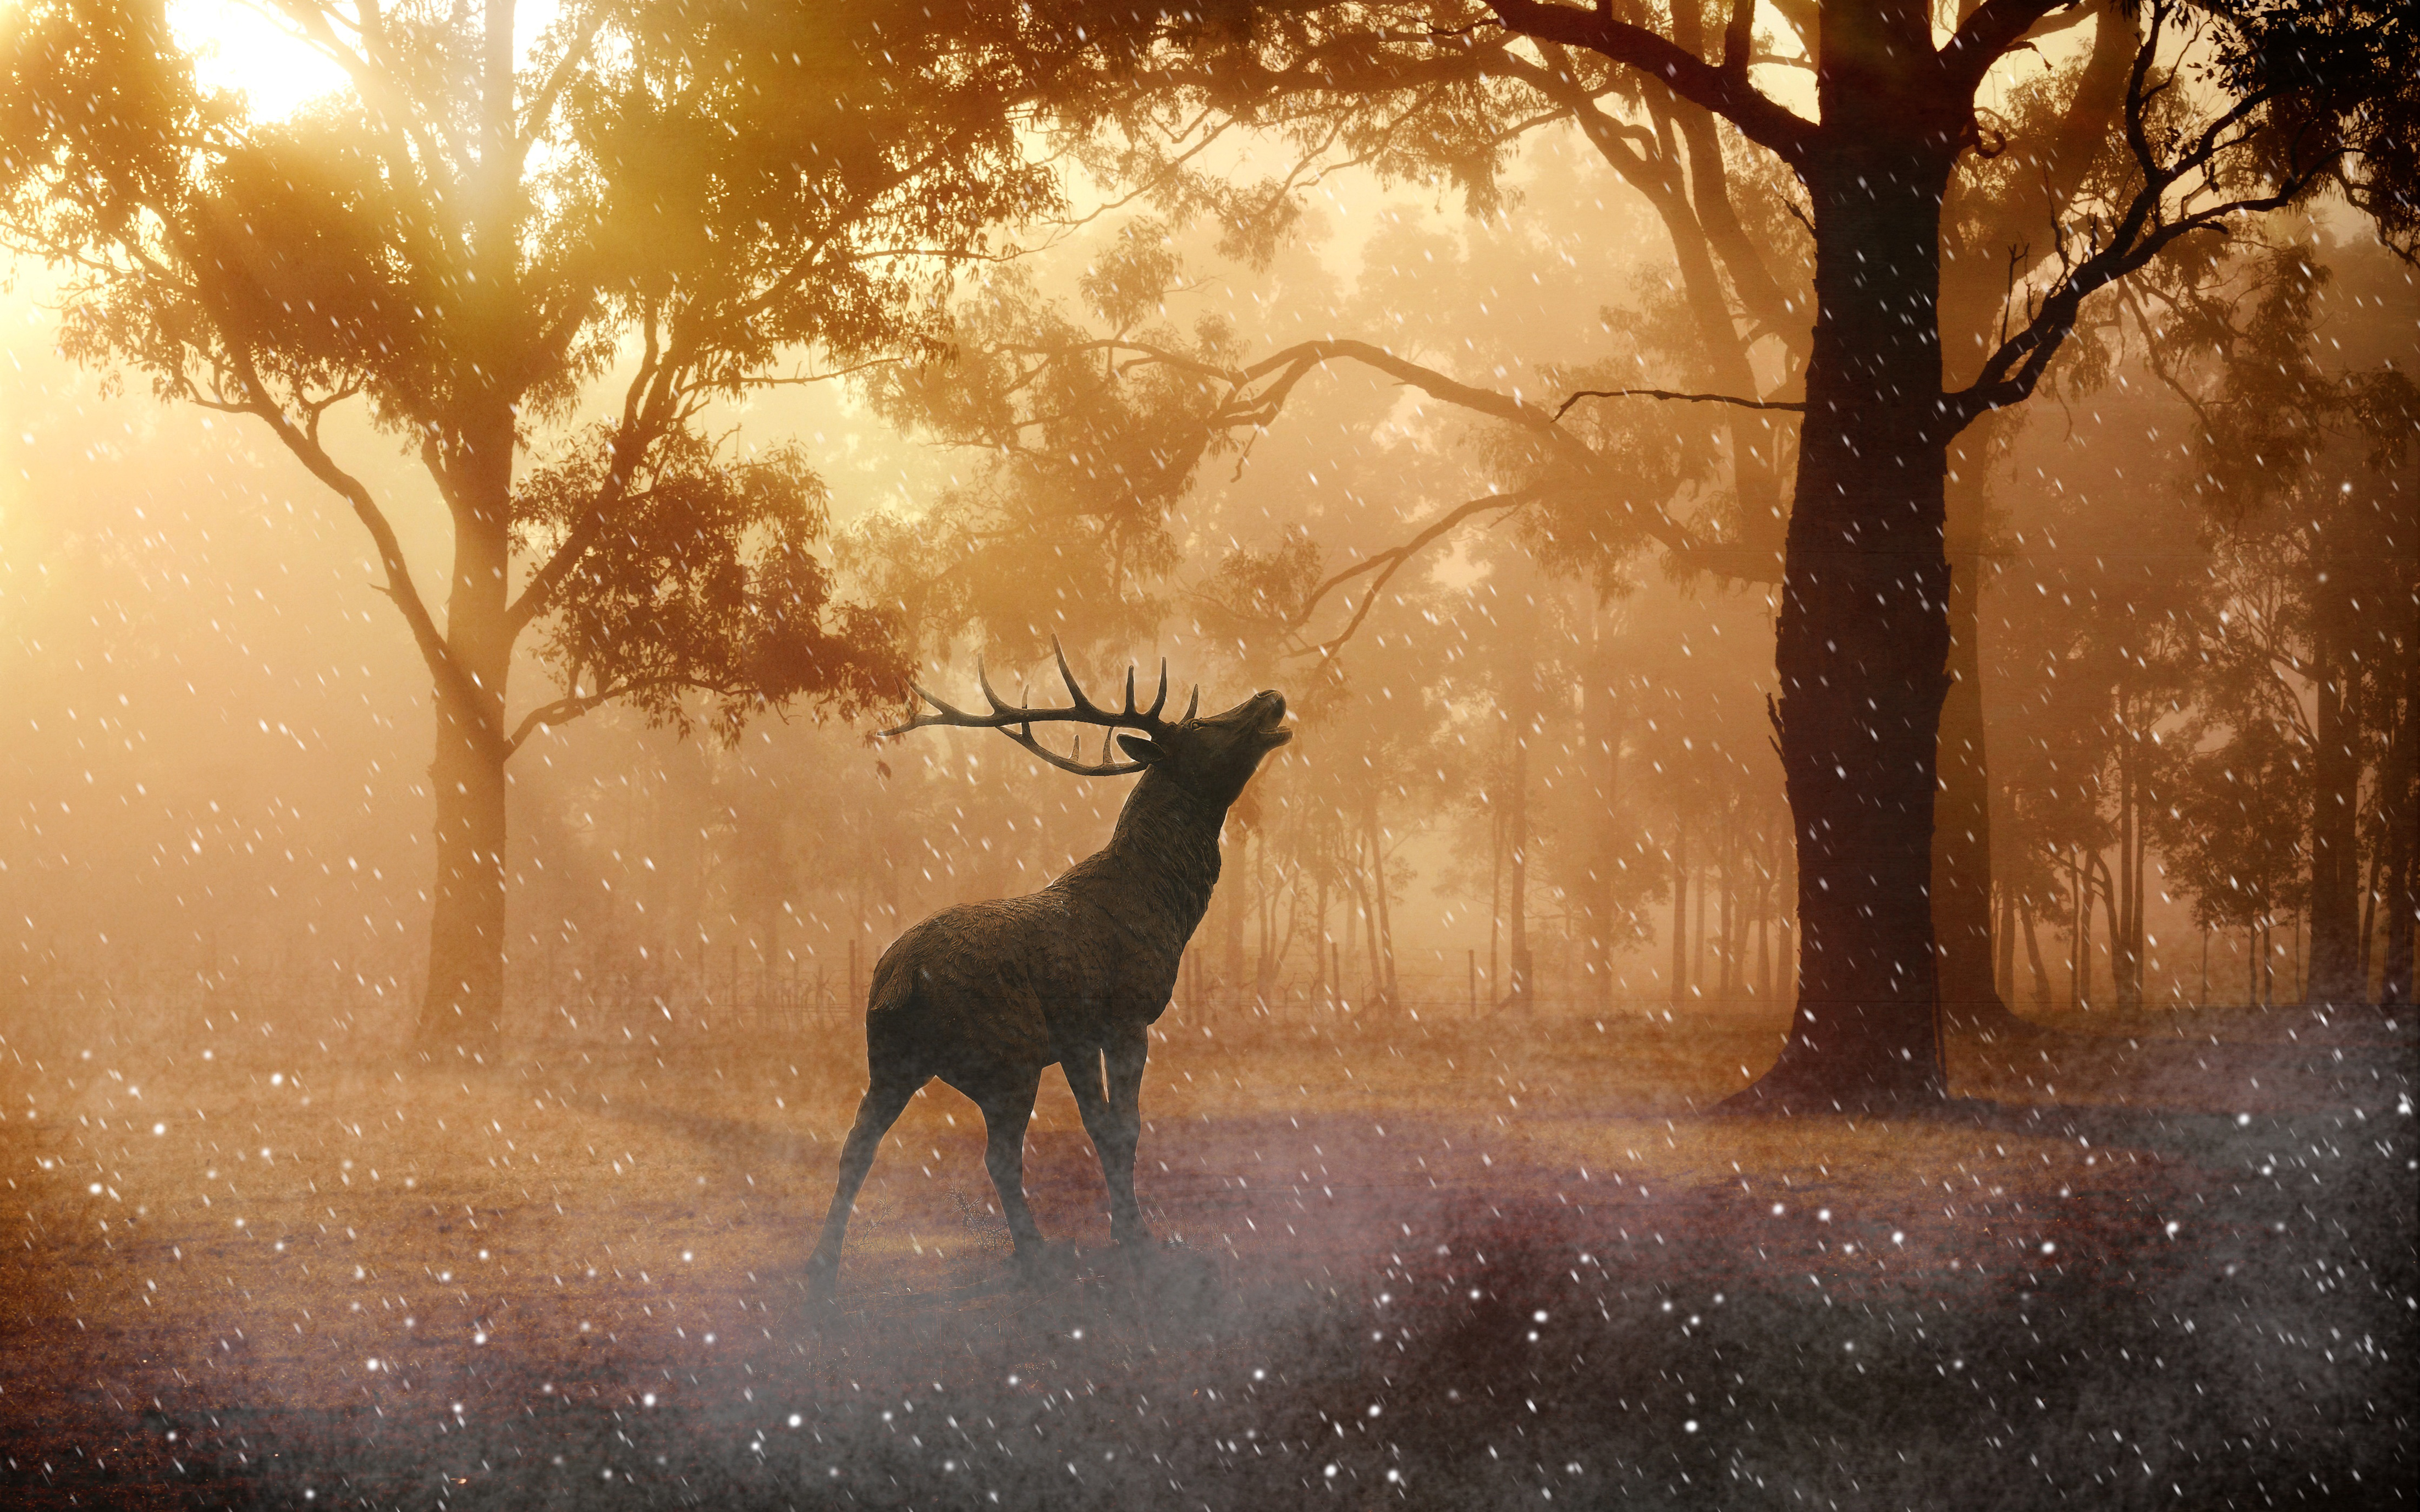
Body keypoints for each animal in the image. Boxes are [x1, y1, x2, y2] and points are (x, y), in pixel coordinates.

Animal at [804, 643, 1292, 1301]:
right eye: (1200, 727)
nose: (1272, 697)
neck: (1167, 907)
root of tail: (898, 980)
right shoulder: (1126, 1013)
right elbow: (1125, 1127)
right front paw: (1140, 1243)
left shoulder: (1076, 1035)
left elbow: (1099, 1126)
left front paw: (1120, 1232)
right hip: (1007, 1054)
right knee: (998, 1156)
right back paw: (1037, 1253)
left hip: (890, 1058)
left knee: (857, 1145)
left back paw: (822, 1267)